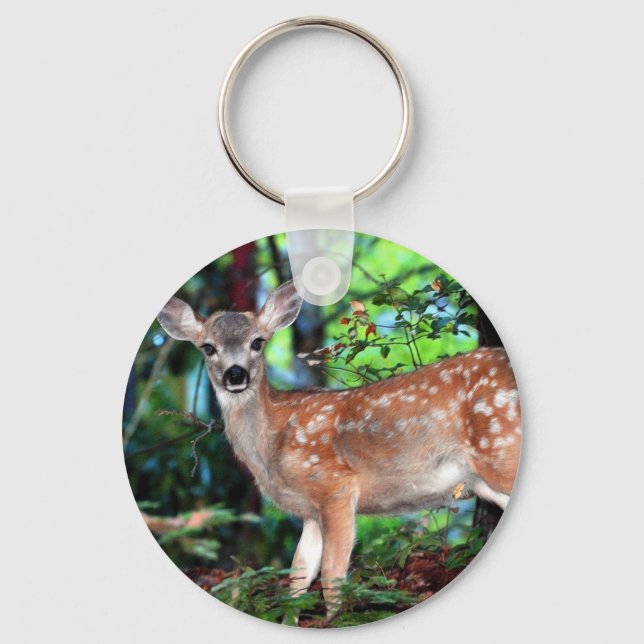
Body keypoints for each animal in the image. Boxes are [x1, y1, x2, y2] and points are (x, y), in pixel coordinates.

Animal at [157, 280, 521, 617]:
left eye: (257, 342)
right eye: (208, 347)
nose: (236, 374)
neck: (272, 445)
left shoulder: (334, 485)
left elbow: (331, 575)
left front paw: (334, 620)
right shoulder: (309, 511)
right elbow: (299, 575)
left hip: (502, 447)